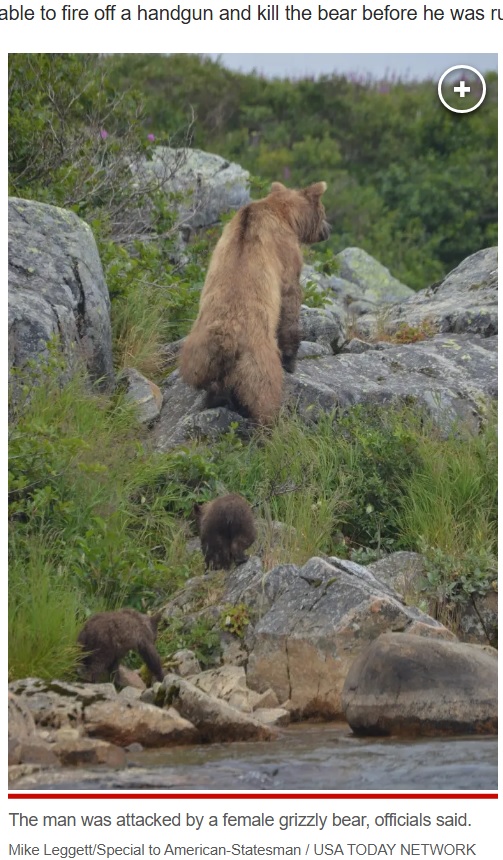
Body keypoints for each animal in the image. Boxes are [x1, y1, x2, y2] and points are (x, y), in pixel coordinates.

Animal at [180, 181, 330, 424]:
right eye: (324, 211)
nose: (328, 230)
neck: (286, 216)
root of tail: (226, 340)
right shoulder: (286, 254)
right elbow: (290, 299)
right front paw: (291, 360)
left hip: (197, 352)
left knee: (202, 380)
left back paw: (213, 399)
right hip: (257, 361)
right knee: (264, 393)